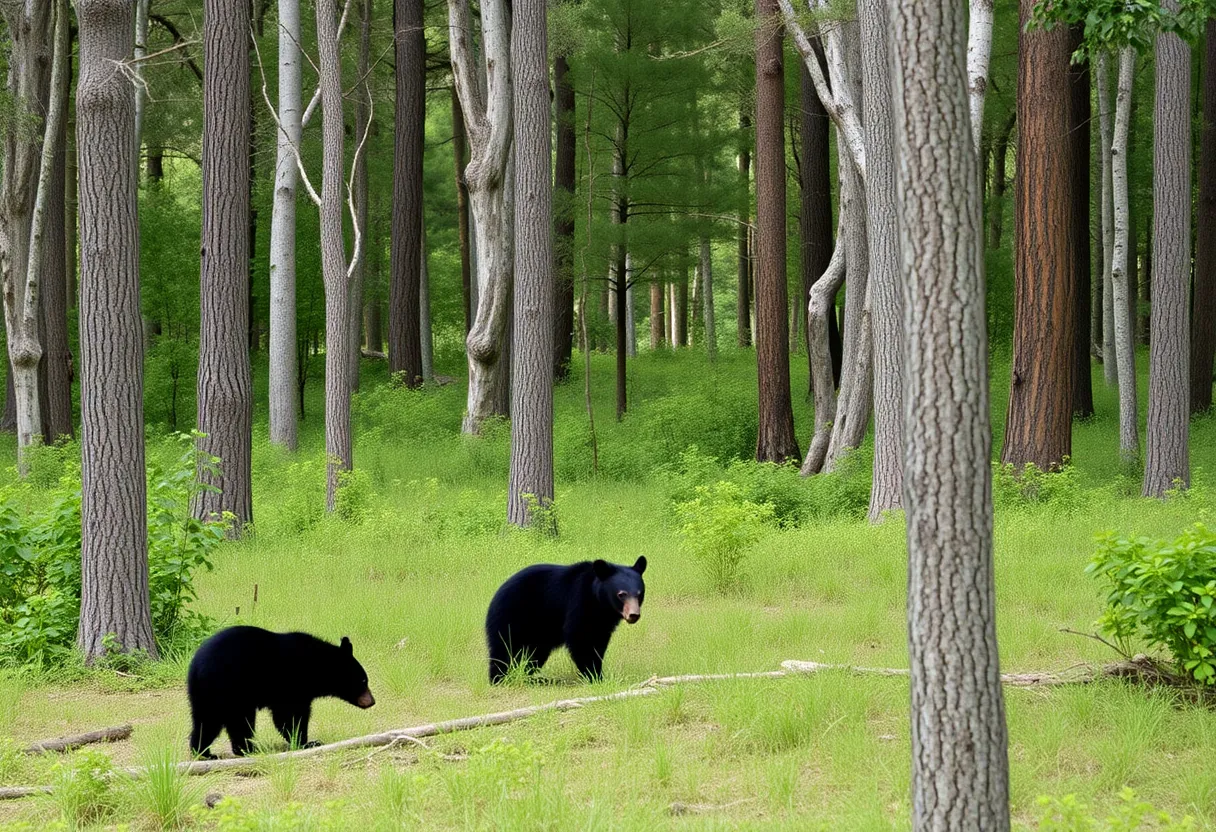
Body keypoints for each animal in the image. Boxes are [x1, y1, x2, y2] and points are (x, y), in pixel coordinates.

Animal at [187, 626, 375, 759]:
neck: (316, 667)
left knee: (205, 721)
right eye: (363, 681)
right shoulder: (291, 685)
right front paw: (307, 742)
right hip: (230, 689)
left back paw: (204, 752)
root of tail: (196, 668)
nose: (372, 701)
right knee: (238, 721)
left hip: (204, 695)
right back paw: (247, 749)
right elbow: (291, 716)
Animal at [485, 556, 647, 684]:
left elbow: (598, 643)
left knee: (534, 655)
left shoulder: (603, 622)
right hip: (511, 615)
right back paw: (499, 678)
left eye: (639, 594)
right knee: (503, 648)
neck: (599, 603)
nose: (633, 615)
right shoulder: (578, 602)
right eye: (621, 594)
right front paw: (593, 675)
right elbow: (580, 638)